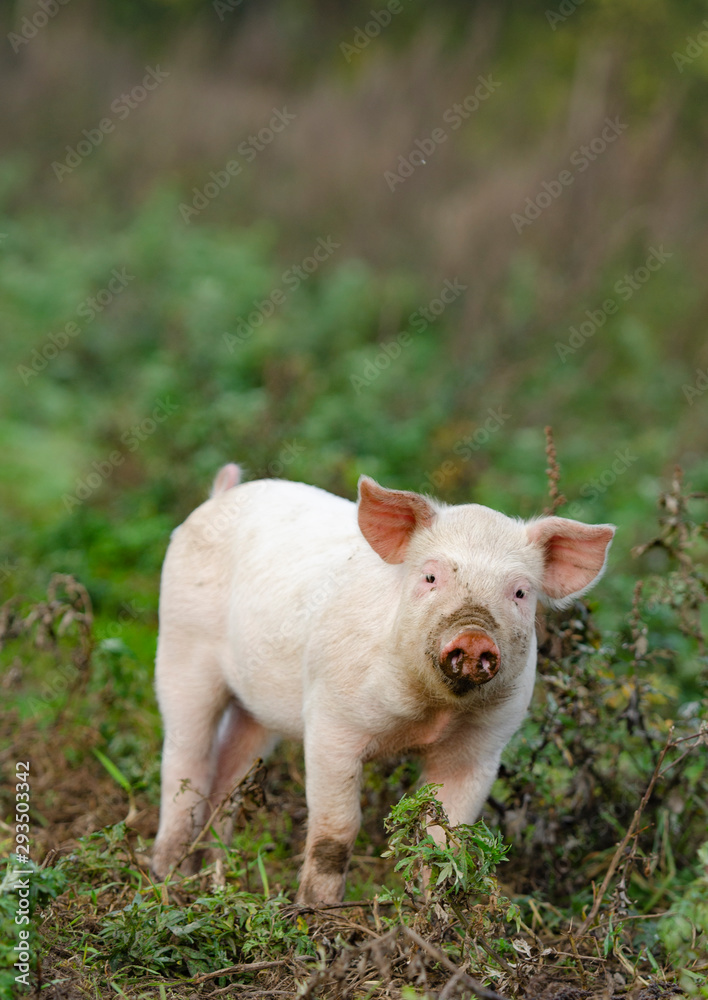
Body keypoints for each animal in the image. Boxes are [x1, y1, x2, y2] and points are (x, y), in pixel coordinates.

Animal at [151, 464, 614, 904]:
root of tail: (221, 495)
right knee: (185, 762)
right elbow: (337, 828)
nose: (472, 636)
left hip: (256, 708)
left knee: (231, 770)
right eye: (430, 578)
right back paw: (168, 878)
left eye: (520, 592)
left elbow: (446, 841)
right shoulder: (330, 721)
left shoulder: (483, 747)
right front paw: (316, 910)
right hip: (179, 647)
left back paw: (215, 875)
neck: (429, 715)